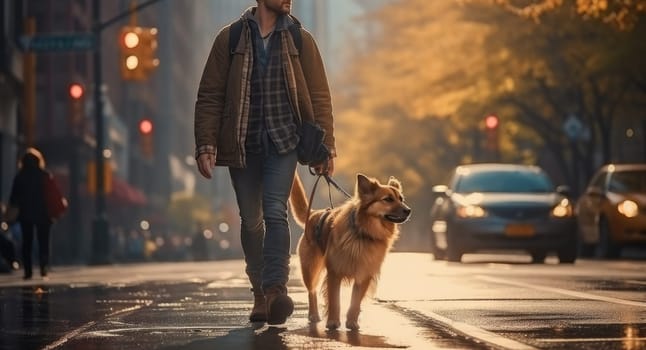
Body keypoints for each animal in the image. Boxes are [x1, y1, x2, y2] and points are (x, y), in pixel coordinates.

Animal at [292, 171, 412, 330]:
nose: (409, 210)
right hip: (310, 269)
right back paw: (313, 315)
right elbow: (334, 301)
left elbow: (355, 301)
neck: (364, 233)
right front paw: (333, 322)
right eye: (388, 199)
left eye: (401, 199)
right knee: (312, 291)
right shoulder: (334, 273)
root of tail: (313, 214)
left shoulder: (364, 275)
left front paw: (352, 322)